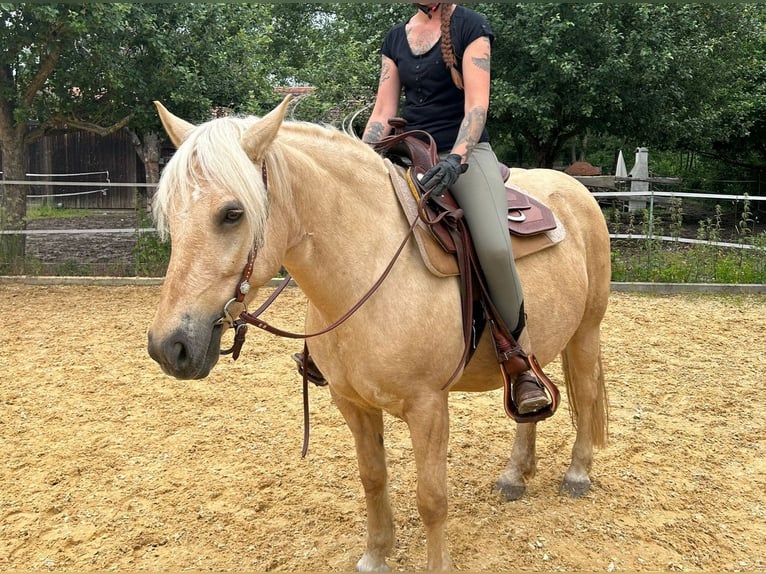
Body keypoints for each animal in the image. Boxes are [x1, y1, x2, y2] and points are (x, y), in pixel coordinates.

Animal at [148, 98, 612, 572]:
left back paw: (578, 473)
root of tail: (575, 188)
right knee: (530, 397)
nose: (170, 347)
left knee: (587, 391)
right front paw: (375, 556)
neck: (366, 268)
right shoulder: (351, 402)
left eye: (232, 214)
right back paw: (516, 472)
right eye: (167, 213)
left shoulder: (428, 407)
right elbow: (372, 477)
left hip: (586, 331)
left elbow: (432, 499)